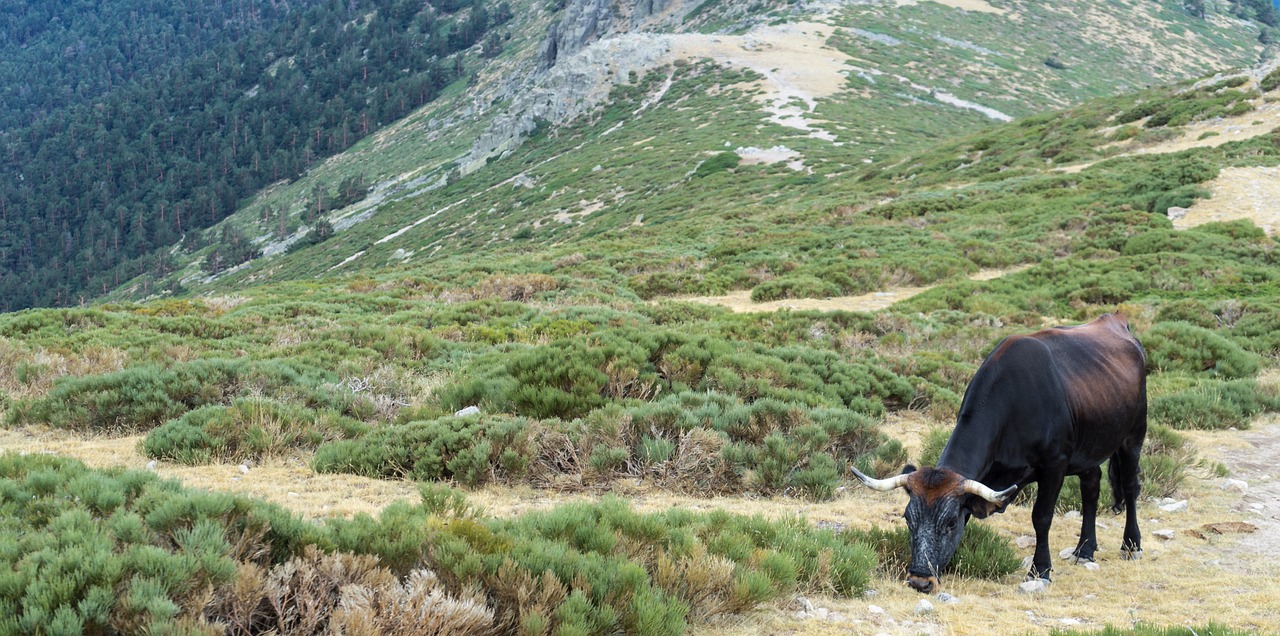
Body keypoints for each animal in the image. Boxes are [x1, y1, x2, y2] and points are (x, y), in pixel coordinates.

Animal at [855, 314, 1146, 593]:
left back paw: (1131, 544)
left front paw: (1040, 569)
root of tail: (1117, 321)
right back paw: (1085, 549)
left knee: (1130, 487)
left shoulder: (1055, 465)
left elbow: (1041, 517)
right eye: (908, 519)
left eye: (950, 522)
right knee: (1091, 488)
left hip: (1133, 437)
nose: (920, 580)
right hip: (1088, 450)